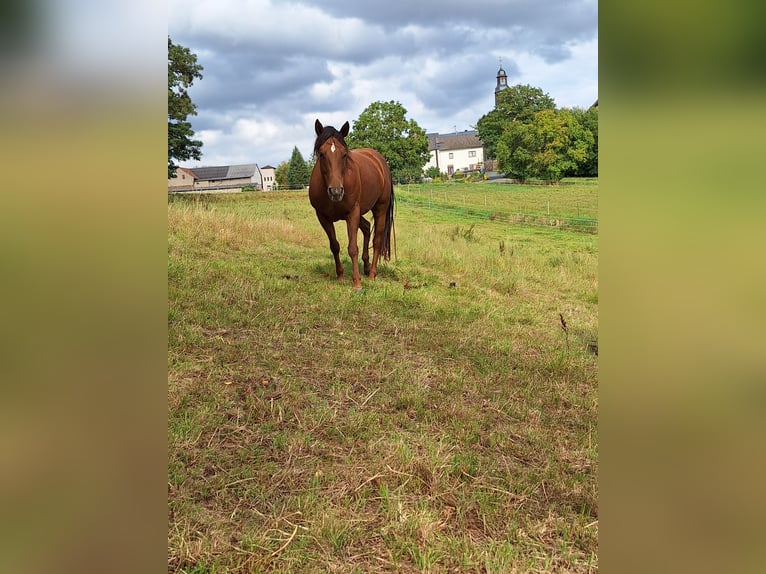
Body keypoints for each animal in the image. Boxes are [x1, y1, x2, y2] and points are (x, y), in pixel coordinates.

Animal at [308, 119, 395, 290]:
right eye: (321, 154)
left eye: (344, 154)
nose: (336, 192)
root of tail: (379, 160)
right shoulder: (322, 217)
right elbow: (334, 245)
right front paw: (340, 276)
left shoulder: (352, 213)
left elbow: (352, 248)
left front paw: (356, 283)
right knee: (367, 227)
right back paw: (366, 267)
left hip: (380, 208)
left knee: (377, 240)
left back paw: (372, 274)